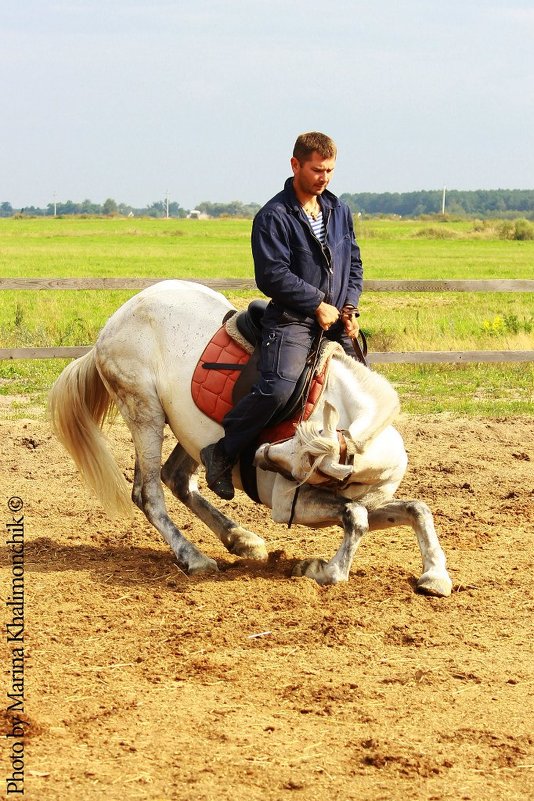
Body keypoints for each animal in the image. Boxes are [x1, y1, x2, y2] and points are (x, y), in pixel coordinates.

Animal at [48, 278, 454, 596]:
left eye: (305, 461)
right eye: (294, 437)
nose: (260, 455)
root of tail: (115, 321)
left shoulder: (371, 499)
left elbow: (415, 509)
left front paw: (435, 576)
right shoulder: (290, 505)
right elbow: (356, 516)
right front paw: (323, 570)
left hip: (190, 432)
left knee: (178, 478)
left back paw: (240, 538)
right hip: (145, 413)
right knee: (148, 494)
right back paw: (194, 557)